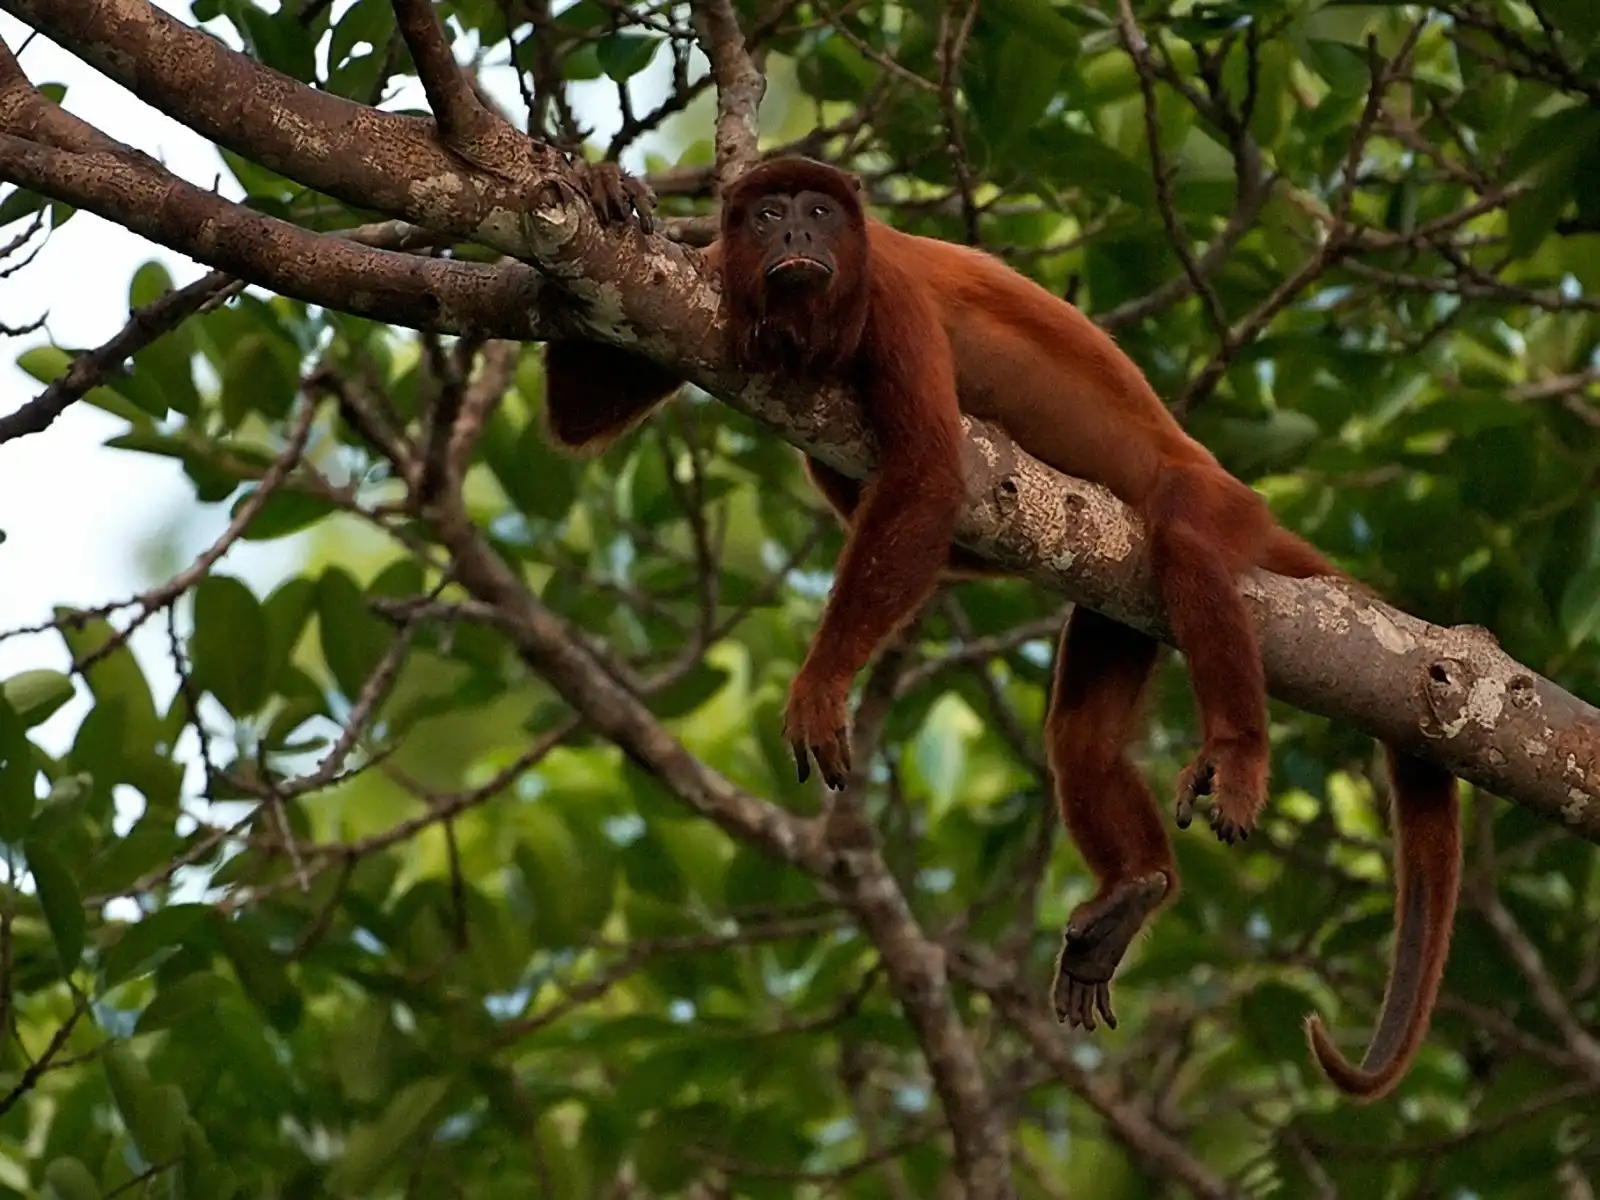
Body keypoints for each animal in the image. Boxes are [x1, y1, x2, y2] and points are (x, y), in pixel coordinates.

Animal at [544, 155, 1462, 1103]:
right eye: (768, 215)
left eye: (818, 212)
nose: (796, 233)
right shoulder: (710, 285)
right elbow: (580, 406)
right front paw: (607, 193)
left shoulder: (892, 296)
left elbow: (927, 480)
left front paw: (823, 681)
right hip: (1117, 603)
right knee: (1082, 738)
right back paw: (1135, 887)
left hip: (1215, 502)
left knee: (1186, 538)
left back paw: (1236, 750)